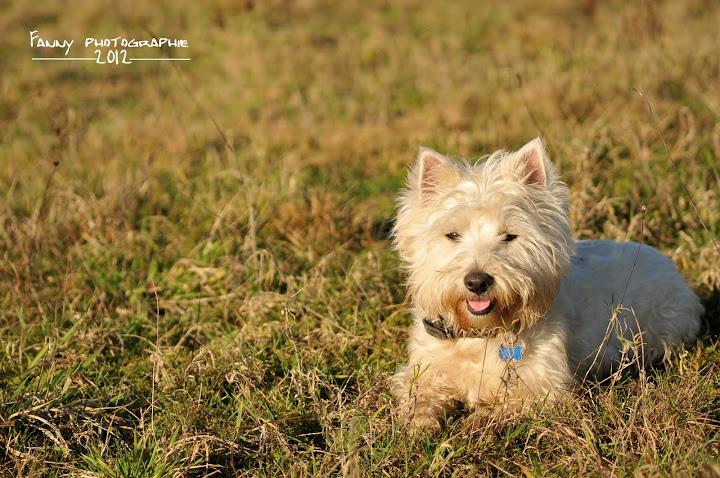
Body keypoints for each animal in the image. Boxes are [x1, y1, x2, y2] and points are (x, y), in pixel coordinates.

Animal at [390, 137, 700, 430]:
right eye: (452, 234)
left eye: (510, 236)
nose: (477, 282)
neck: (481, 335)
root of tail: (666, 262)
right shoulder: (425, 367)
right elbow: (418, 392)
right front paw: (419, 424)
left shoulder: (546, 385)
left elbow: (511, 403)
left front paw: (478, 419)